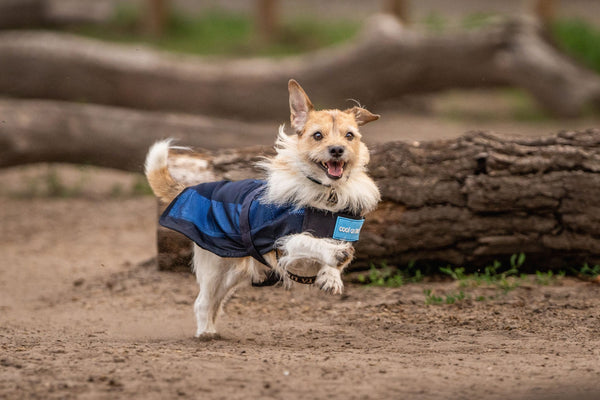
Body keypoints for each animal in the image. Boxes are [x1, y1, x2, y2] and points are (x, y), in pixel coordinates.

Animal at [145, 79, 380, 338]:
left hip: (236, 273)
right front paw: (332, 253)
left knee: (216, 302)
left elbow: (340, 249)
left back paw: (211, 329)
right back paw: (205, 333)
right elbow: (309, 241)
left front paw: (331, 275)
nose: (337, 150)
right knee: (203, 302)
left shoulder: (344, 230)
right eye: (318, 135)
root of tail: (189, 189)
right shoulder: (283, 242)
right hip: (216, 267)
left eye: (350, 136)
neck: (326, 194)